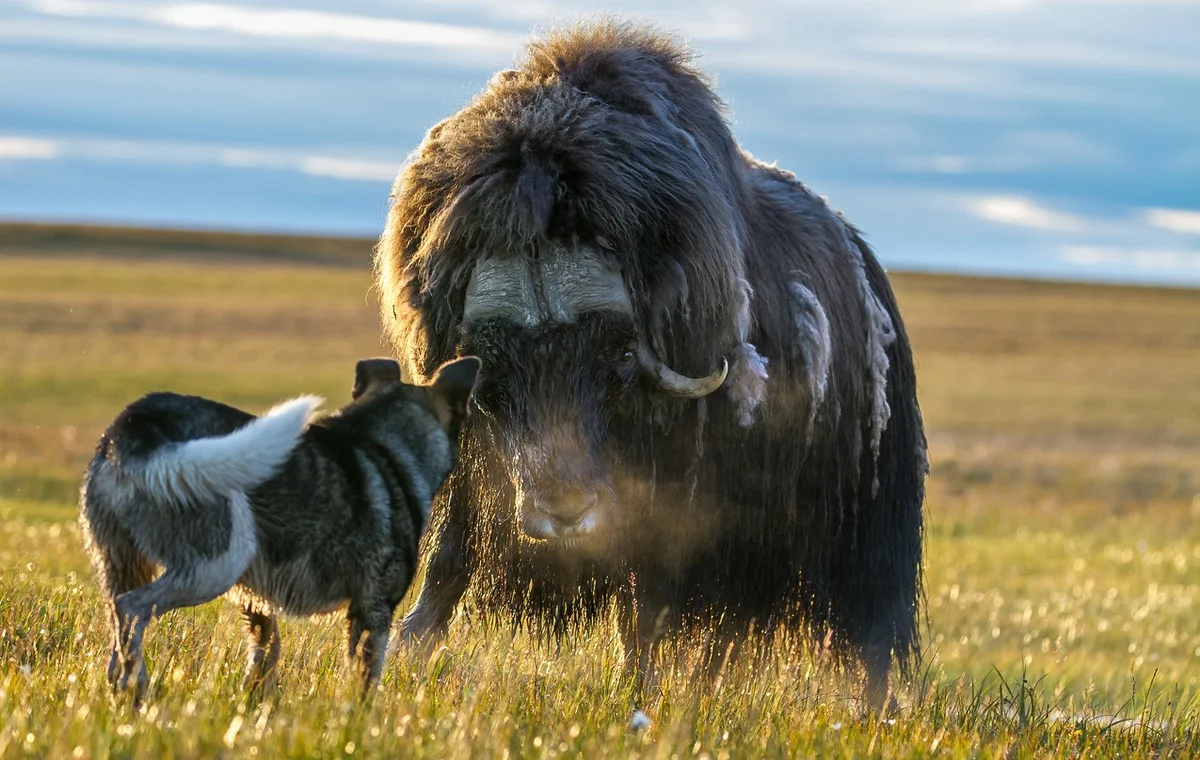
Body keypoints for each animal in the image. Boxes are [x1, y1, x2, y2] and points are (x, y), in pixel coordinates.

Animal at [76, 352, 482, 701]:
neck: (388, 444)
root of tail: (139, 424)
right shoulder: (373, 609)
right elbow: (364, 683)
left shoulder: (255, 597)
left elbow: (266, 652)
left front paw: (255, 706)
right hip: (216, 564)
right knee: (132, 608)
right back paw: (138, 687)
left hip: (122, 561)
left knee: (116, 638)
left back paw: (128, 692)